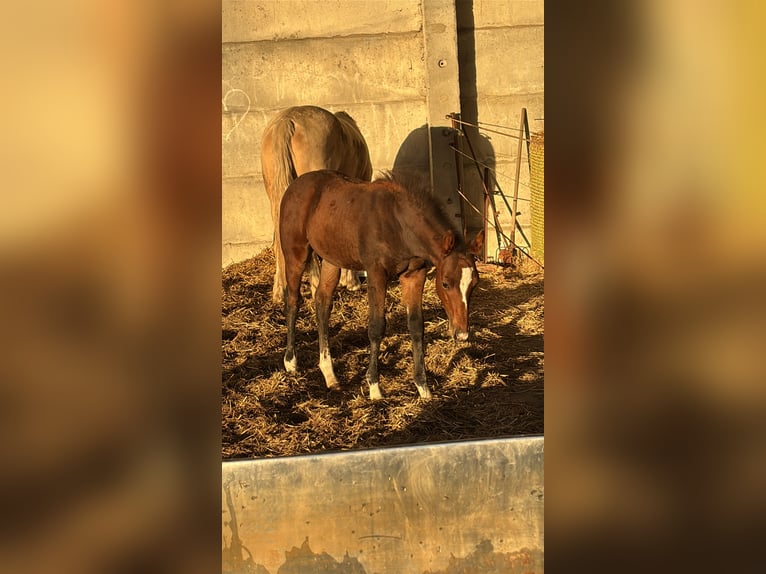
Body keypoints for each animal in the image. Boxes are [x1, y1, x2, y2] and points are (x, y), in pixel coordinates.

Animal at [279, 169, 484, 400]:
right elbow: (376, 326)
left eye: (475, 283)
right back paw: (291, 361)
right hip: (295, 255)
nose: (462, 333)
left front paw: (423, 387)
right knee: (293, 301)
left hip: (333, 259)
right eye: (446, 283)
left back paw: (329, 374)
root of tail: (296, 184)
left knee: (322, 302)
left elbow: (416, 326)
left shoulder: (415, 274)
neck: (399, 224)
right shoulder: (376, 273)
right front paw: (374, 387)